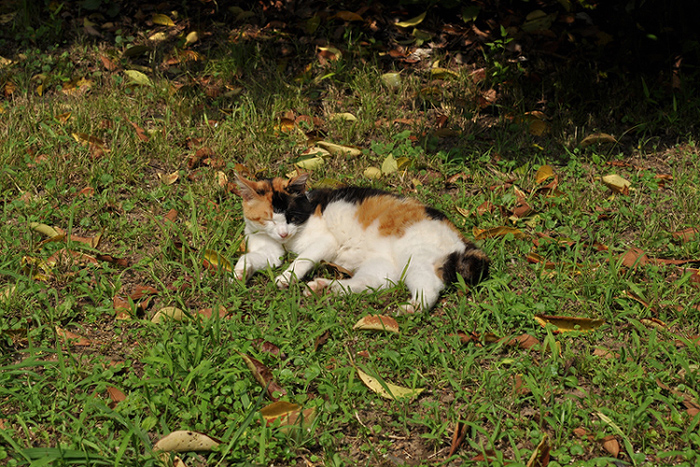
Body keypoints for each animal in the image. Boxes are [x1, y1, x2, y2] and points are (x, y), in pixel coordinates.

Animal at [232, 172, 490, 310]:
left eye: (291, 217)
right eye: (268, 219)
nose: (284, 233)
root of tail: (462, 242)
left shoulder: (325, 241)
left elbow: (302, 259)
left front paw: (286, 278)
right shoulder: (270, 251)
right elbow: (252, 257)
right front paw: (239, 273)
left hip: (414, 256)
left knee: (431, 287)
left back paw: (411, 309)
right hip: (383, 268)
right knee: (365, 283)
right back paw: (324, 287)